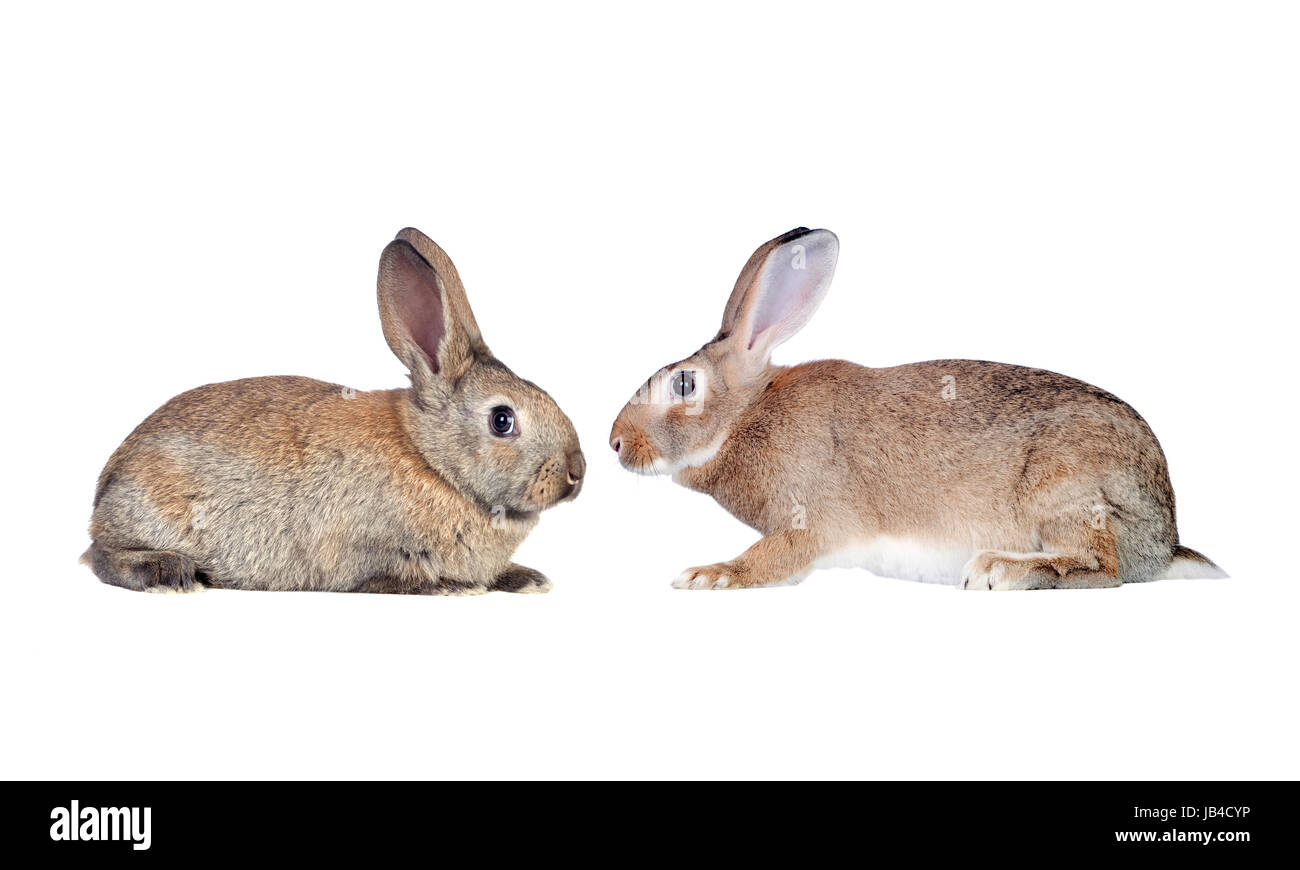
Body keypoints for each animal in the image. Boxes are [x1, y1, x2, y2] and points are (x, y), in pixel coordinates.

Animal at [83, 227, 585, 595]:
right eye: (502, 420)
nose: (577, 471)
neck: (432, 460)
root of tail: (105, 489)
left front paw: (527, 579)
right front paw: (451, 587)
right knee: (101, 556)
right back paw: (168, 574)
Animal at [609, 227, 1224, 590]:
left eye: (683, 384)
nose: (614, 442)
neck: (744, 417)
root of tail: (1165, 540)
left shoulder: (811, 520)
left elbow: (774, 557)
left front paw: (707, 575)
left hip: (1068, 491)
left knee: (1105, 568)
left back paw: (1002, 570)